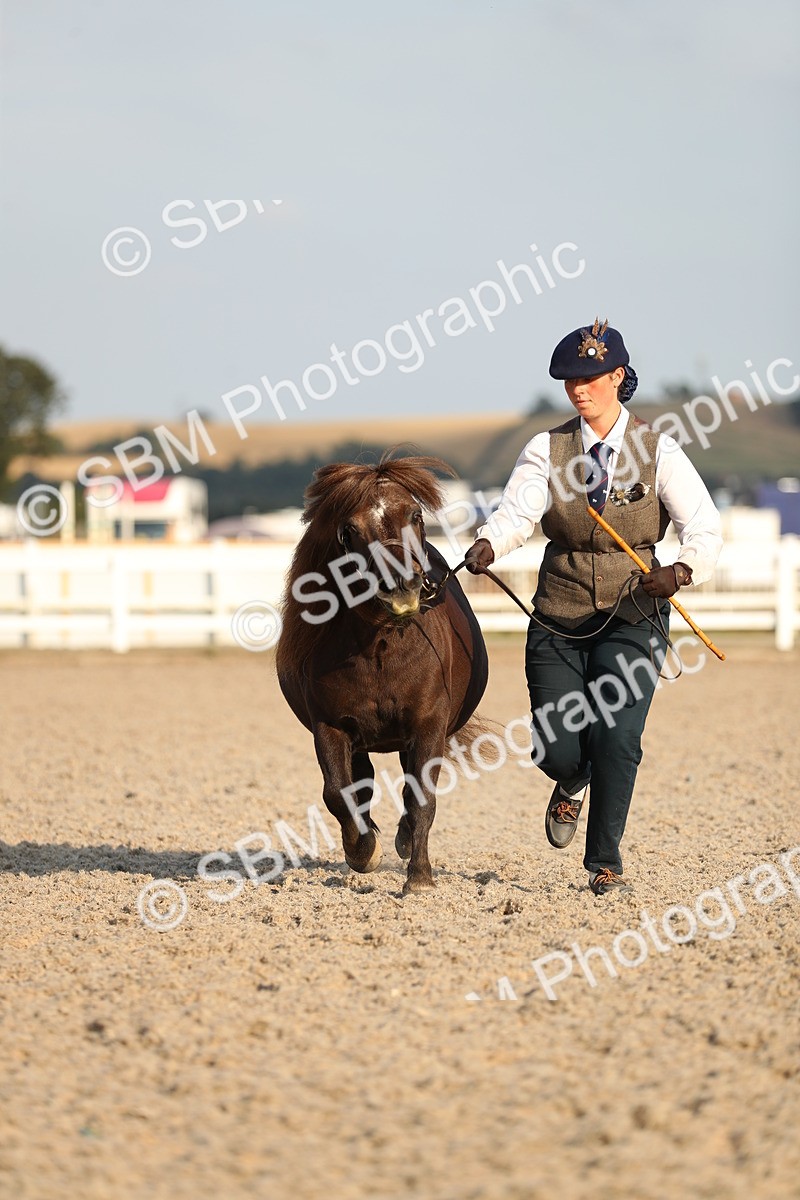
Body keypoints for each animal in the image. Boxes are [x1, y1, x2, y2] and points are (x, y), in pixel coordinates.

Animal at [275, 452, 489, 894]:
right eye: (350, 530)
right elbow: (338, 794)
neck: (380, 647)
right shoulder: (331, 727)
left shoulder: (428, 726)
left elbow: (421, 799)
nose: (402, 587)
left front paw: (419, 877)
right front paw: (363, 851)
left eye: (416, 515)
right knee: (361, 784)